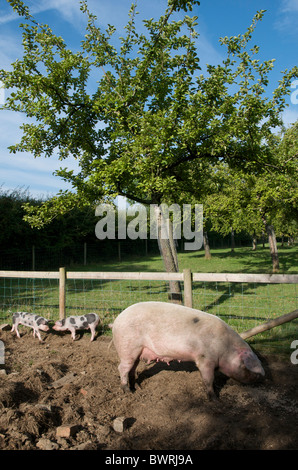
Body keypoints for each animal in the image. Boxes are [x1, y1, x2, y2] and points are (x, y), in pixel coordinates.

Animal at [110, 302, 264, 400]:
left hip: (136, 352)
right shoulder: (205, 359)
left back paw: (136, 388)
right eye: (250, 368)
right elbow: (208, 379)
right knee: (122, 368)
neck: (226, 347)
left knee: (132, 369)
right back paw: (127, 391)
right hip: (127, 347)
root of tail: (116, 320)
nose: (263, 378)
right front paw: (215, 399)